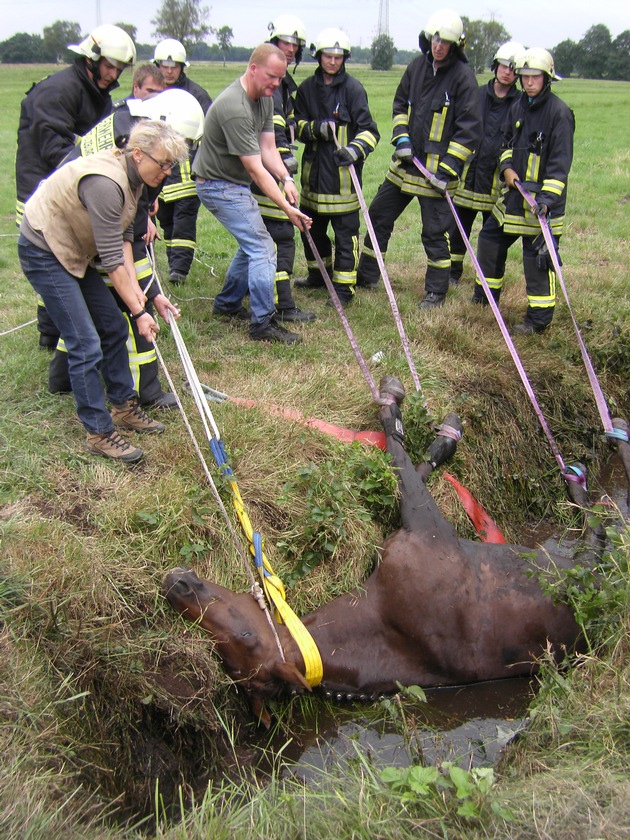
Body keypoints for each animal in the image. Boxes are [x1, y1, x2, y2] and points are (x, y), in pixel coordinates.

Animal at [163, 378, 612, 724]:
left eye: (242, 634)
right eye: (234, 645)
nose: (179, 585)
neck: (382, 620)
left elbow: (406, 460)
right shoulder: (426, 524)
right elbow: (404, 457)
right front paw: (410, 412)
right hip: (582, 569)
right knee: (595, 533)